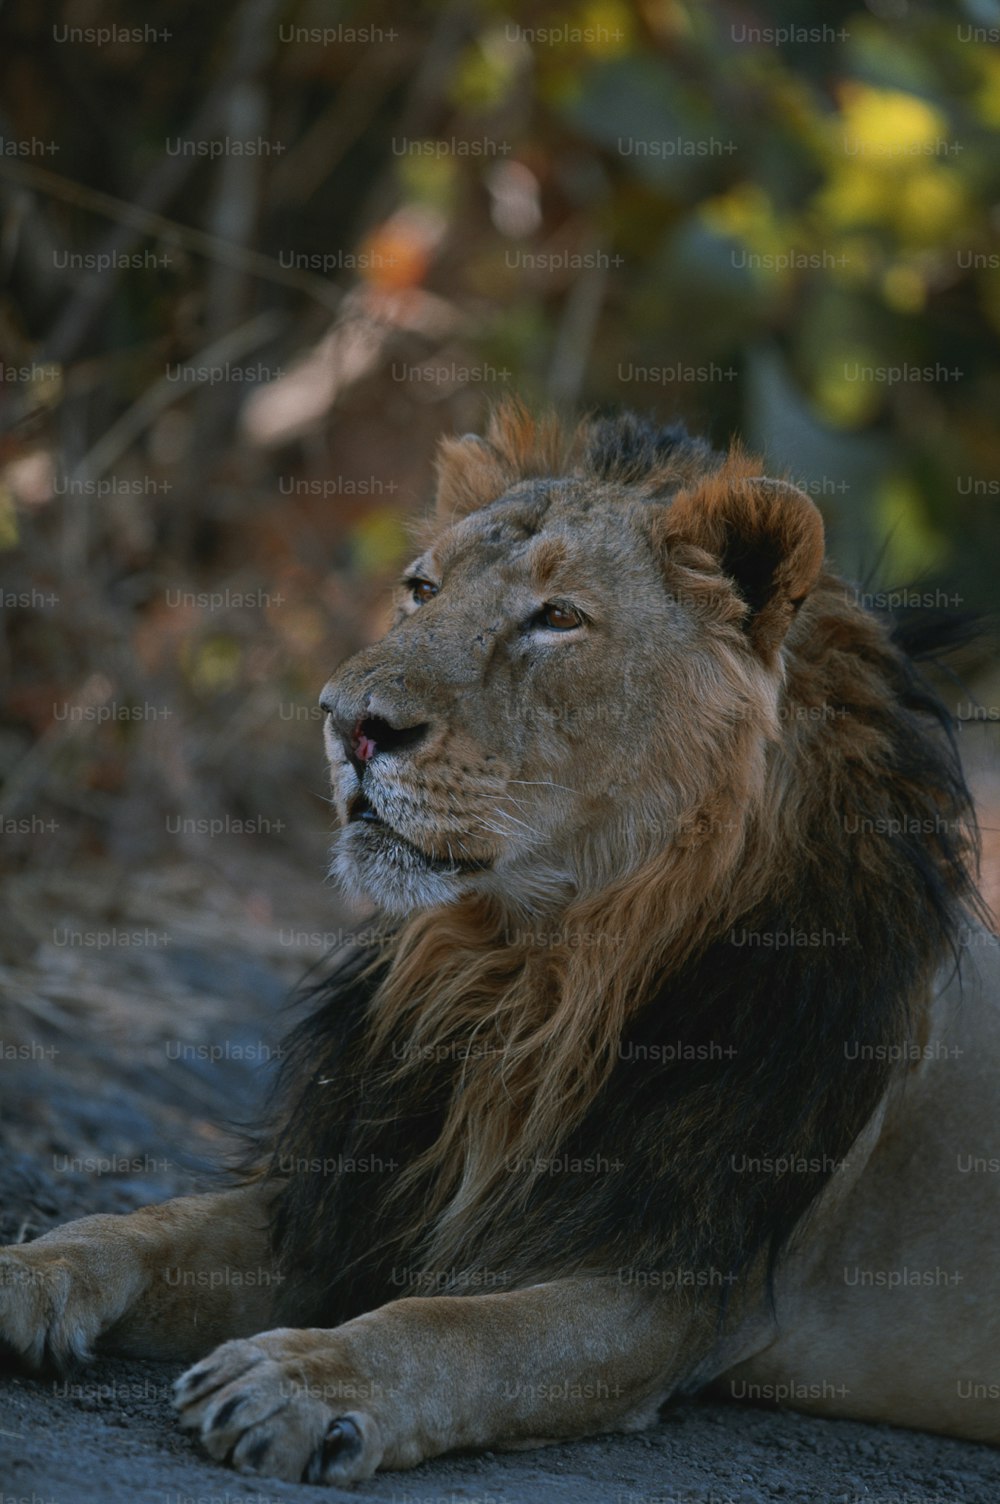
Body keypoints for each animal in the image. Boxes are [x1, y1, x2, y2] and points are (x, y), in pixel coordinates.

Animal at [1, 406, 998, 1485]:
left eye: (557, 618)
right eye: (421, 589)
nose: (350, 724)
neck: (527, 969)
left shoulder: (661, 1288)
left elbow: (455, 1332)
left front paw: (300, 1381)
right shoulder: (355, 1195)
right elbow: (144, 1227)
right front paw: (25, 1271)